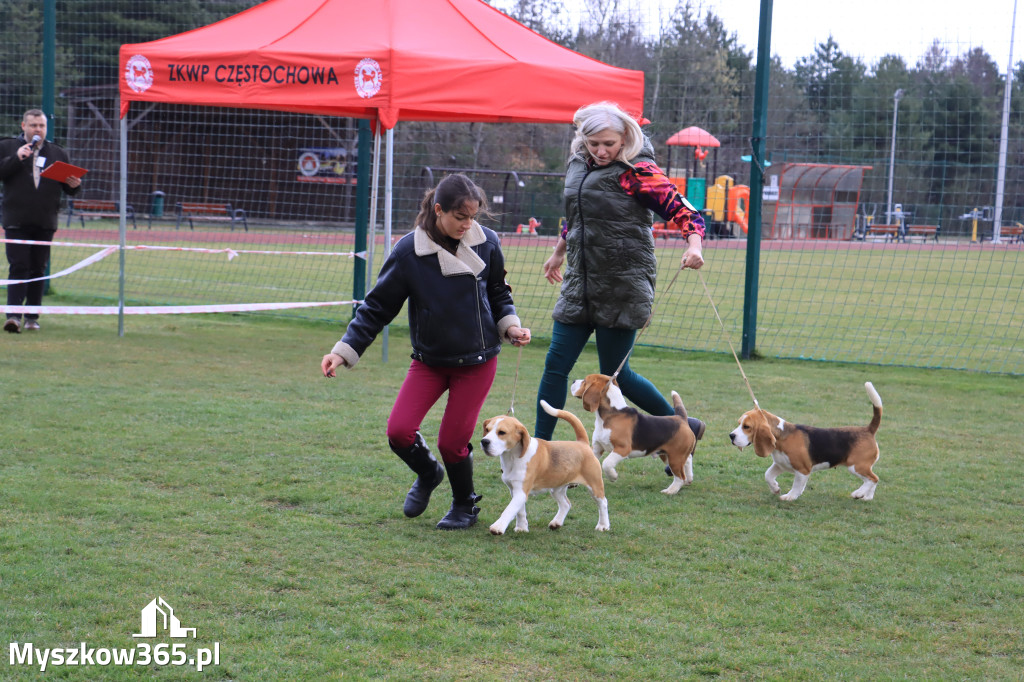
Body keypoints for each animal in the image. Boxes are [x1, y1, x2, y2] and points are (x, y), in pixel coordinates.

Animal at [479, 399, 606, 532]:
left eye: (502, 432)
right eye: (487, 429)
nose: (484, 441)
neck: (513, 457)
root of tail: (582, 443)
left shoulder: (521, 492)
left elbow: (509, 510)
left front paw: (498, 527)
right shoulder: (514, 490)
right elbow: (520, 512)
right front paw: (522, 528)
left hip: (594, 485)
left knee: (603, 503)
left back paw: (603, 525)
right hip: (557, 488)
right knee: (566, 504)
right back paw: (556, 522)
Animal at [724, 382, 884, 499]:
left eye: (747, 427)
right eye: (739, 423)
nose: (731, 436)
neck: (782, 437)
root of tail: (868, 429)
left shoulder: (802, 470)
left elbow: (796, 485)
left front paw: (790, 496)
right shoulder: (780, 464)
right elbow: (768, 475)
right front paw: (775, 488)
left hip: (856, 466)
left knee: (874, 479)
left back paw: (859, 493)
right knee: (872, 480)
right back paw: (867, 496)